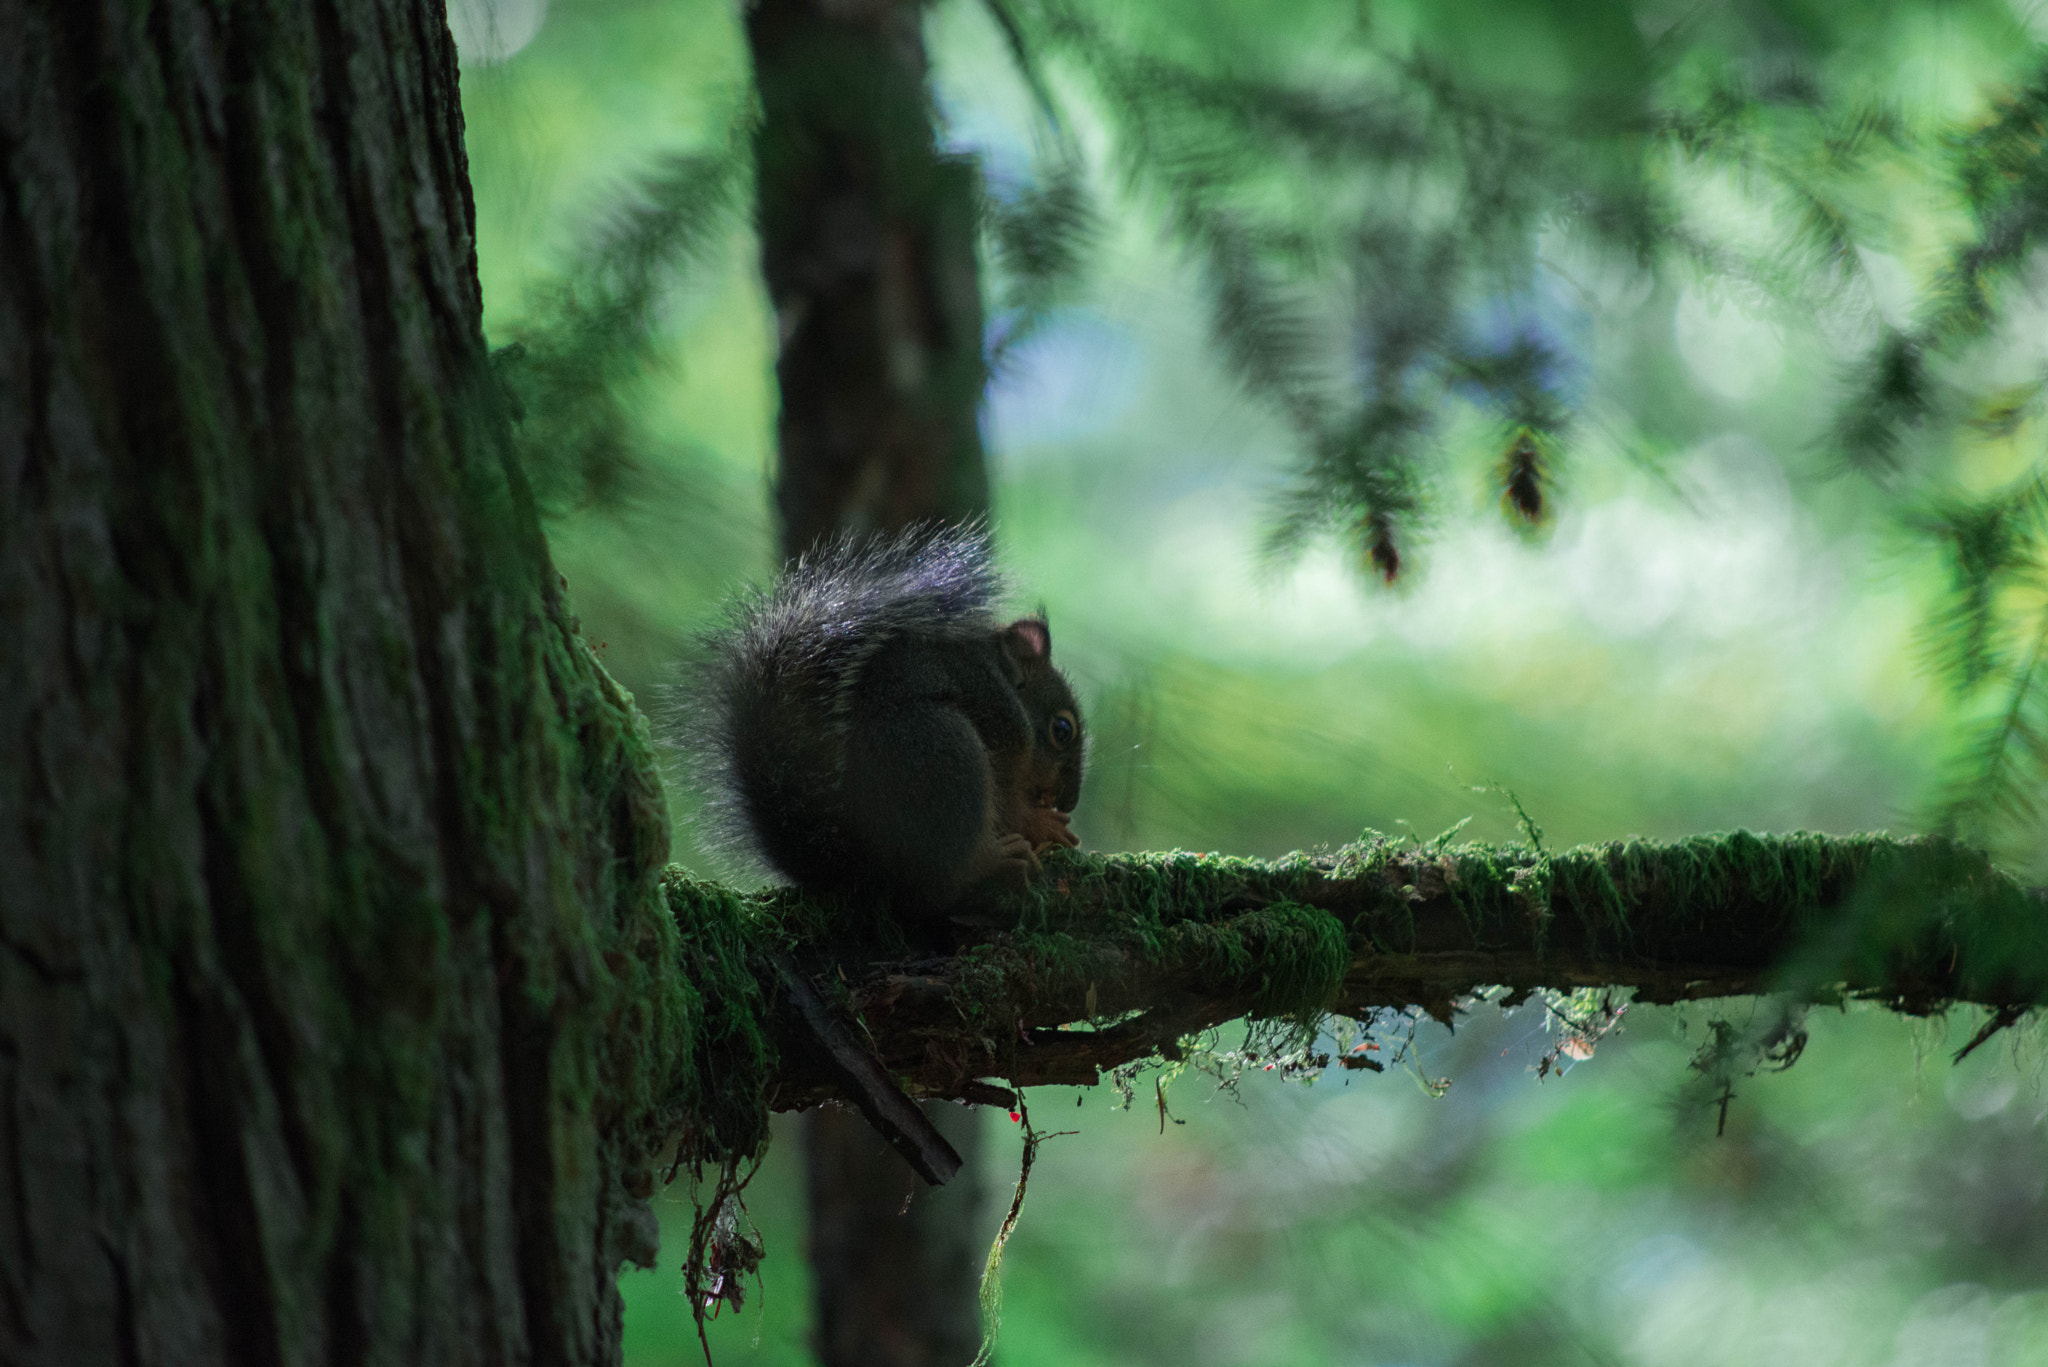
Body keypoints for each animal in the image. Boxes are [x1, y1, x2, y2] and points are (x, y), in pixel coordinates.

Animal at [684, 528, 1081, 926]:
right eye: (1063, 730)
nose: (1069, 801)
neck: (1003, 677)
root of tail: (862, 868)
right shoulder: (998, 716)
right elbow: (1011, 801)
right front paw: (1040, 822)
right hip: (942, 752)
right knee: (938, 887)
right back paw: (993, 864)